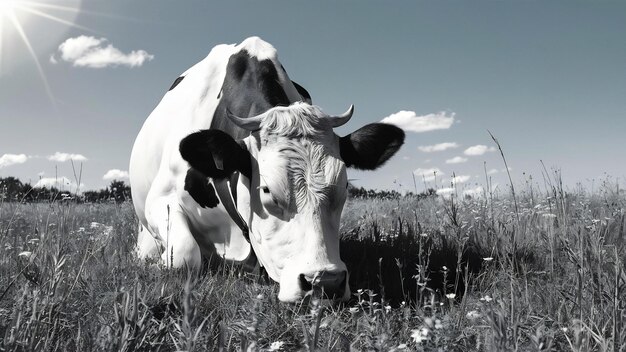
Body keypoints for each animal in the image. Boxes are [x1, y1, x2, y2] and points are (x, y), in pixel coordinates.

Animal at [130, 36, 404, 302]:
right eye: (266, 191)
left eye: (344, 187)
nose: (325, 282)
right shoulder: (160, 198)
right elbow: (184, 254)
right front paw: (155, 263)